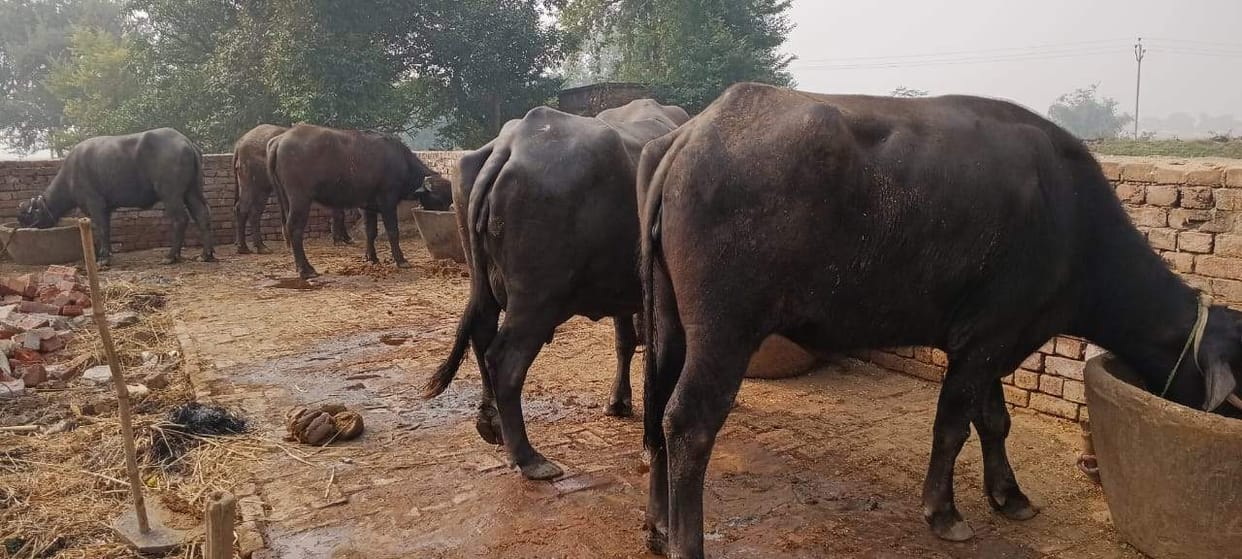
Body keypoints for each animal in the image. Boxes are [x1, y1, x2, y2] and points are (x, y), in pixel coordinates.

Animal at [17, 127, 214, 267]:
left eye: (27, 215)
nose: (22, 225)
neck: (70, 176)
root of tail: (186, 142)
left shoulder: (95, 203)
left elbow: (101, 228)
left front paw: (103, 259)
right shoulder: (107, 208)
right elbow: (108, 228)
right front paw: (109, 253)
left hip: (170, 193)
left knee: (180, 219)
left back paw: (171, 256)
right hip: (192, 190)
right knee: (202, 215)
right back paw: (206, 254)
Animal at [232, 124, 354, 254]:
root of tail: (240, 143)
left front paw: (346, 239)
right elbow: (339, 211)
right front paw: (341, 240)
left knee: (256, 209)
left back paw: (261, 247)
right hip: (251, 171)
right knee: (243, 206)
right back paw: (244, 248)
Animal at [265, 124, 442, 279]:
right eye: (439, 198)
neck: (401, 162)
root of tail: (280, 140)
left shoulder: (368, 206)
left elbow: (370, 232)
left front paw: (371, 257)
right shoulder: (388, 202)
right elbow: (392, 231)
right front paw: (401, 260)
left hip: (286, 199)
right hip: (300, 199)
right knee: (294, 229)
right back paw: (306, 270)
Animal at [422, 99, 689, 480]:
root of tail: (508, 146)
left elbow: (625, 341)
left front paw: (618, 402)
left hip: (482, 282)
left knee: (481, 334)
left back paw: (491, 424)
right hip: (536, 299)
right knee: (504, 359)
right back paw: (528, 458)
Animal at [636, 83, 1242, 558]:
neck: (1072, 222)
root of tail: (687, 139)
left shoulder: (994, 342)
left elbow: (994, 421)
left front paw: (1010, 496)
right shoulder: (985, 340)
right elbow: (952, 425)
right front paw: (945, 513)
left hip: (670, 322)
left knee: (658, 405)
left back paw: (659, 527)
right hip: (725, 329)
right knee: (688, 422)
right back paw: (687, 542)